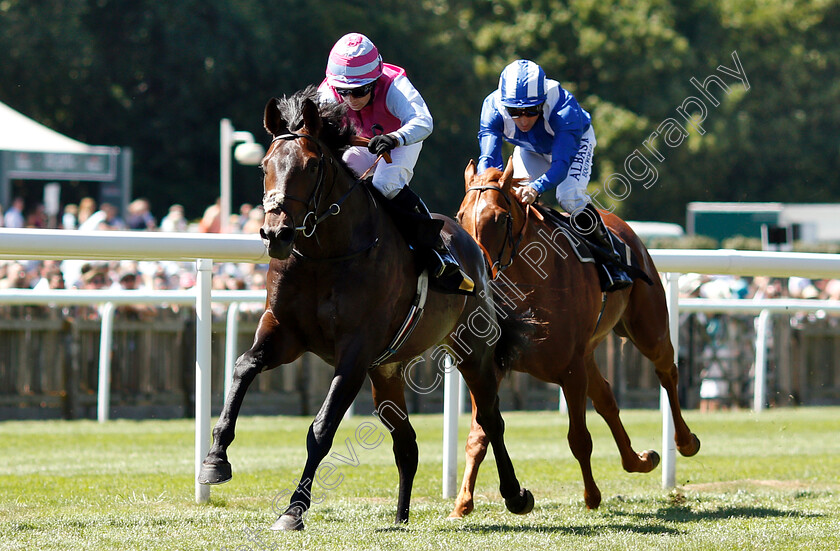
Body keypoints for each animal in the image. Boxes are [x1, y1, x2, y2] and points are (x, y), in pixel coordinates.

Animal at [199, 88, 532, 532]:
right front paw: (215, 461)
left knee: (491, 418)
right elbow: (242, 367)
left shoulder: (354, 352)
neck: (326, 253)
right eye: (264, 165)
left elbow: (321, 428)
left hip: (471, 350)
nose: (276, 233)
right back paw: (401, 517)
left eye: (311, 164)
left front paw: (293, 510)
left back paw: (515, 495)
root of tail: (475, 246)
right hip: (386, 370)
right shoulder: (284, 332)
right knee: (407, 444)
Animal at [452, 160, 704, 516]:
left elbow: (579, 439)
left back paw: (685, 441)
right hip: (588, 352)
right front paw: (462, 503)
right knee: (607, 398)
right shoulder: (498, 365)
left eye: (500, 218)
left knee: (667, 371)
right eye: (460, 216)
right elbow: (478, 434)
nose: (476, 271)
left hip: (648, 328)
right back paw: (640, 460)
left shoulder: (570, 370)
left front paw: (591, 495)